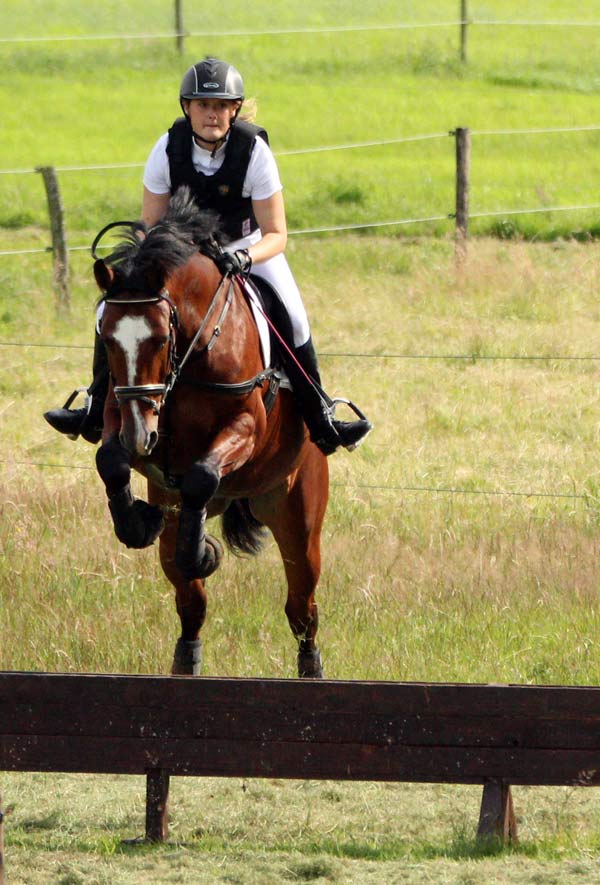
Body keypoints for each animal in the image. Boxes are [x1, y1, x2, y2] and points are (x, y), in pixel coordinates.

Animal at [92, 189, 328, 678]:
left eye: (161, 338)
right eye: (105, 337)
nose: (141, 435)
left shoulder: (246, 425)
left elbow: (202, 475)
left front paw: (204, 551)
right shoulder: (119, 410)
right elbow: (111, 462)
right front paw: (137, 523)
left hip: (297, 515)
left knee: (302, 607)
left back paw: (311, 669)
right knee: (191, 603)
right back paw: (186, 657)